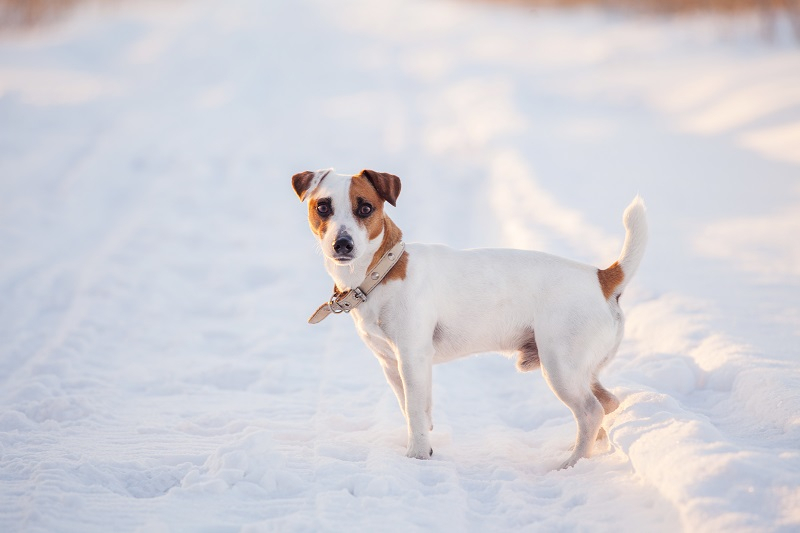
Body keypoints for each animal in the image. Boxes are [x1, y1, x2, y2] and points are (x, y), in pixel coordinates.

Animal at [290, 168, 648, 468]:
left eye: (365, 208)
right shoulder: (393, 364)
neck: (381, 271)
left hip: (561, 365)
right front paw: (425, 439)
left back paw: (572, 463)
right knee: (607, 403)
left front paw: (417, 456)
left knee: (590, 412)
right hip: (580, 368)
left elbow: (415, 412)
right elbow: (412, 408)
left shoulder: (412, 357)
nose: (343, 244)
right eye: (323, 207)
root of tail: (601, 278)